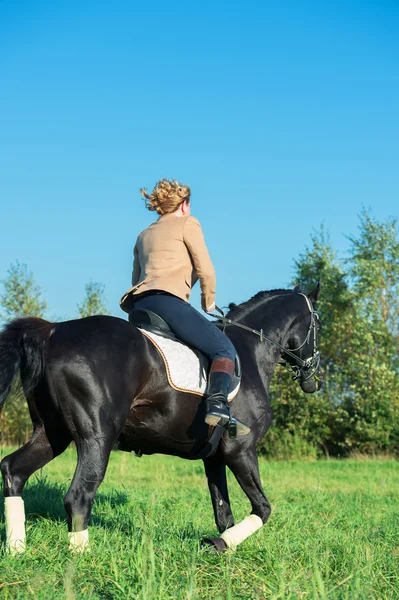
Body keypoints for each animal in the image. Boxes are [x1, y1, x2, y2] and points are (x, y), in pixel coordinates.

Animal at [0, 286, 320, 552]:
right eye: (317, 322)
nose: (313, 381)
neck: (251, 351)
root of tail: (53, 331)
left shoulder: (215, 458)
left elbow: (223, 512)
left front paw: (220, 550)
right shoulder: (240, 450)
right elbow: (262, 508)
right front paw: (220, 545)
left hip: (52, 434)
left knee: (14, 470)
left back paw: (17, 550)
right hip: (96, 439)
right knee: (79, 496)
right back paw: (82, 560)